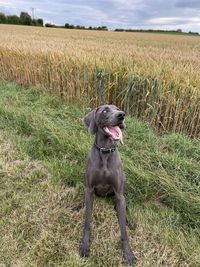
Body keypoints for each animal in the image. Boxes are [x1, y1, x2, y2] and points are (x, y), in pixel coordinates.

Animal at [79, 104, 136, 266]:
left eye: (118, 108)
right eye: (105, 110)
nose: (122, 115)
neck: (105, 151)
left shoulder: (119, 194)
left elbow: (123, 231)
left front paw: (128, 253)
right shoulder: (89, 189)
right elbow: (87, 222)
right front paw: (85, 245)